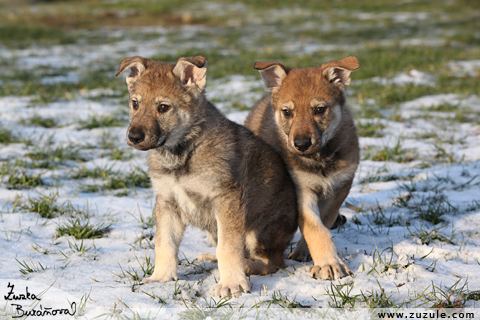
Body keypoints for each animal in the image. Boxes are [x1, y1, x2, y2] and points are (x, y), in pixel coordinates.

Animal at [116, 55, 298, 298]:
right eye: (135, 104)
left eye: (163, 108)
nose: (134, 136)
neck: (182, 152)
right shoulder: (167, 202)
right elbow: (164, 243)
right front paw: (160, 277)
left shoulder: (226, 199)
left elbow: (229, 247)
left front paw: (231, 283)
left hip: (259, 231)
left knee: (273, 262)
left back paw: (248, 266)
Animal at [244, 56, 360, 278]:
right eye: (287, 112)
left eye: (319, 110)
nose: (301, 144)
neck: (319, 160)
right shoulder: (301, 190)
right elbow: (316, 229)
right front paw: (328, 263)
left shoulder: (339, 189)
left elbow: (322, 224)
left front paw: (310, 254)